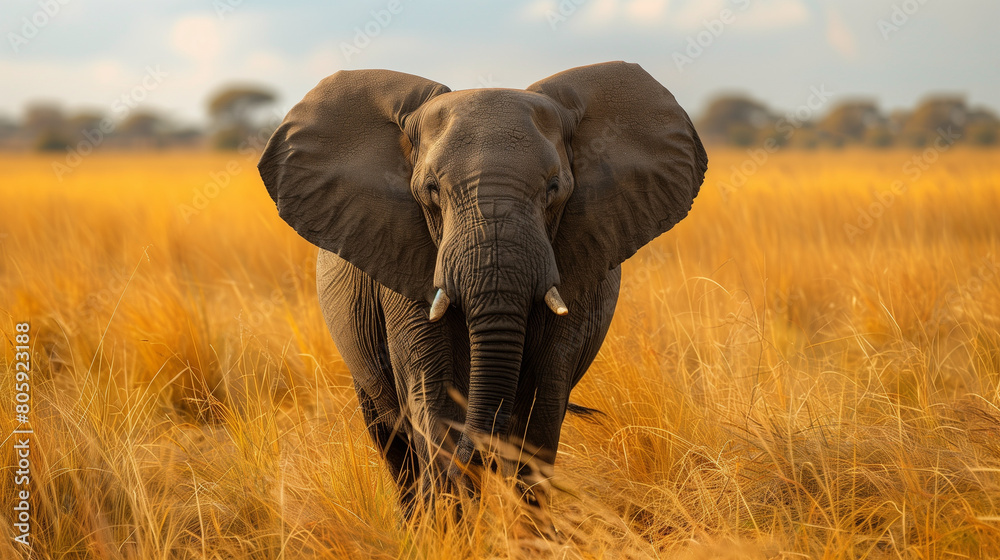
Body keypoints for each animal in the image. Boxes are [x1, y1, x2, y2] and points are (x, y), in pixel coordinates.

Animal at [258, 61, 707, 514]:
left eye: (554, 189)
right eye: (431, 191)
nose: (481, 452)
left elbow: (541, 401)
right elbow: (434, 391)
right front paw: (451, 520)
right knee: (391, 438)